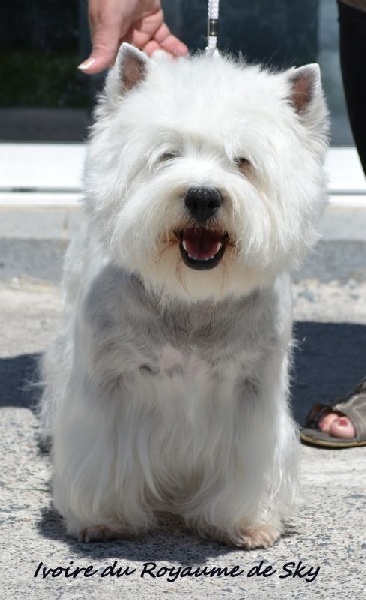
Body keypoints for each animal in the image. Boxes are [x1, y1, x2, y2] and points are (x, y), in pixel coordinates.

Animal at [38, 43, 328, 548]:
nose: (203, 196)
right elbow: (102, 453)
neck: (193, 300)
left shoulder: (251, 394)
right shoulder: (108, 386)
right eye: (167, 155)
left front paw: (245, 523)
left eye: (243, 161)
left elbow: (246, 465)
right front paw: (102, 517)